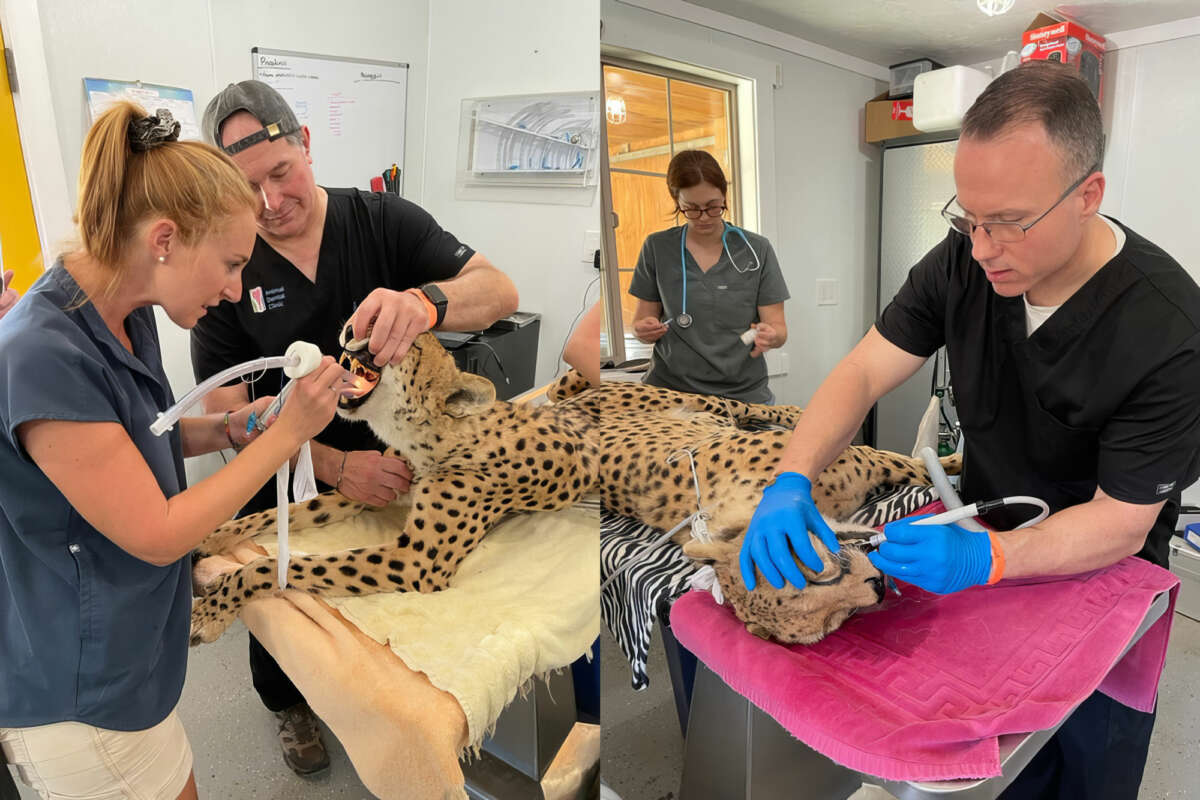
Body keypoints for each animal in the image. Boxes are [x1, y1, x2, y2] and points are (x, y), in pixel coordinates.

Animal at [189, 324, 598, 644]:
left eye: (408, 345)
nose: (354, 332)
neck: (428, 437)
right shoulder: (368, 491)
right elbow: (280, 511)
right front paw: (211, 538)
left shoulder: (417, 561)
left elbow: (274, 564)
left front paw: (213, 609)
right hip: (563, 387)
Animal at [548, 374, 959, 645]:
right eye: (834, 620)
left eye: (814, 571)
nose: (877, 585)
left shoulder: (867, 457)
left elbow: (920, 465)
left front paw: (955, 461)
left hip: (705, 402)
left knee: (753, 406)